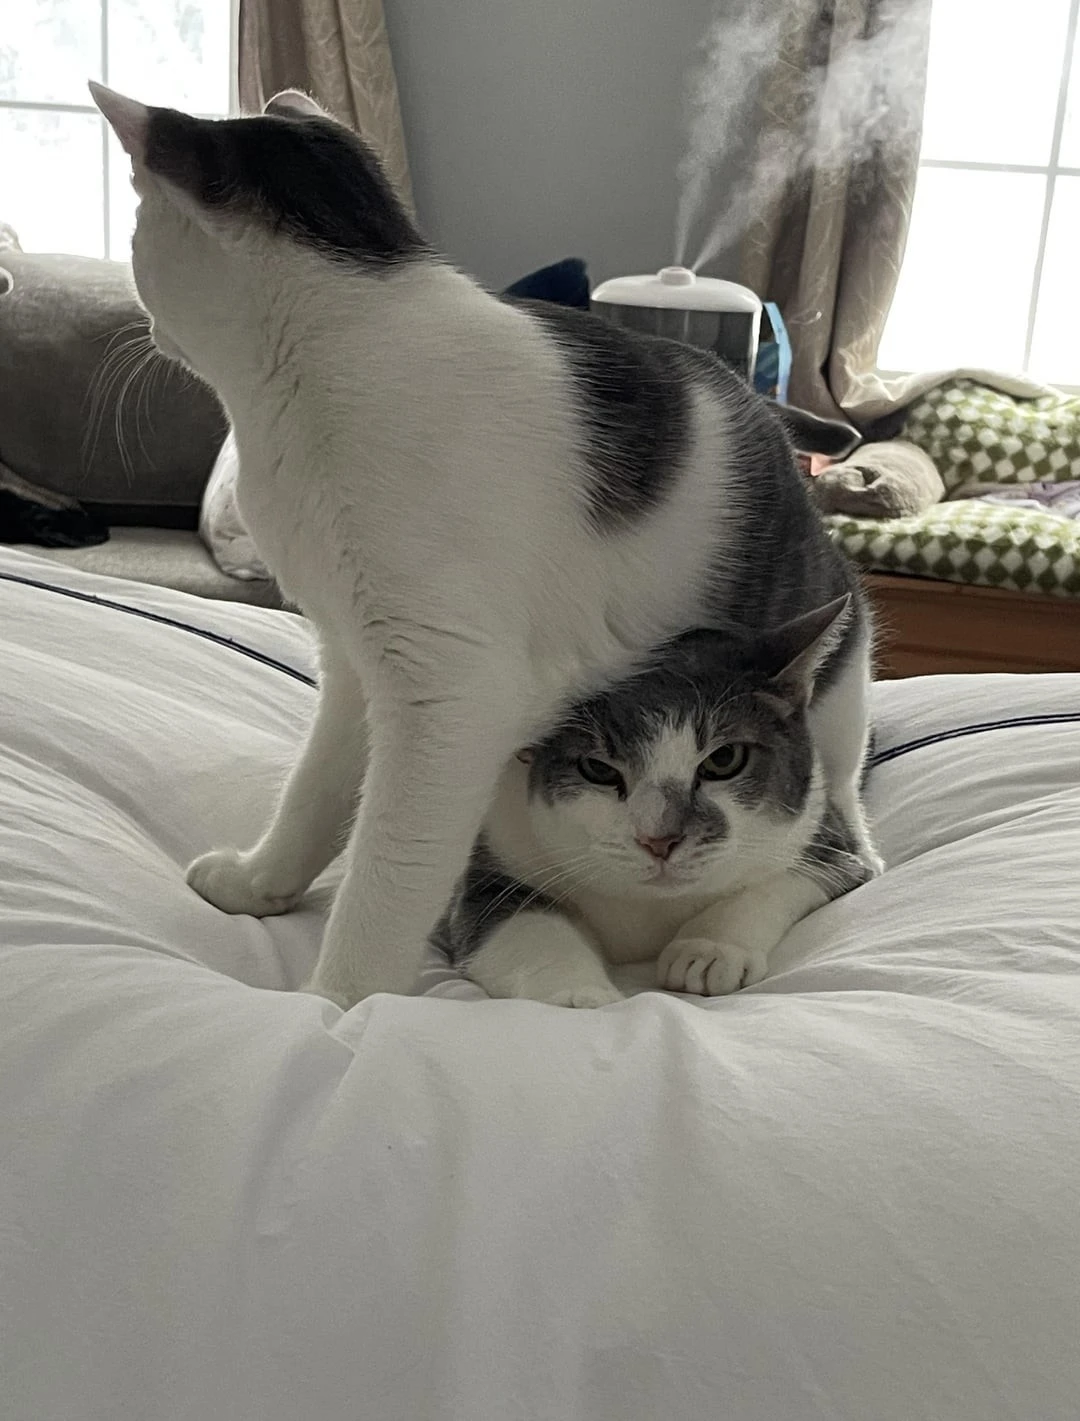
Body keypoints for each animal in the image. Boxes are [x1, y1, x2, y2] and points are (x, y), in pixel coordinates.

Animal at [436, 609, 872, 1006]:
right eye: (597, 768)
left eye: (724, 759)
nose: (659, 839)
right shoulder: (494, 860)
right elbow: (526, 928)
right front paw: (580, 998)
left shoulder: (830, 840)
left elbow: (775, 883)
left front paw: (706, 950)